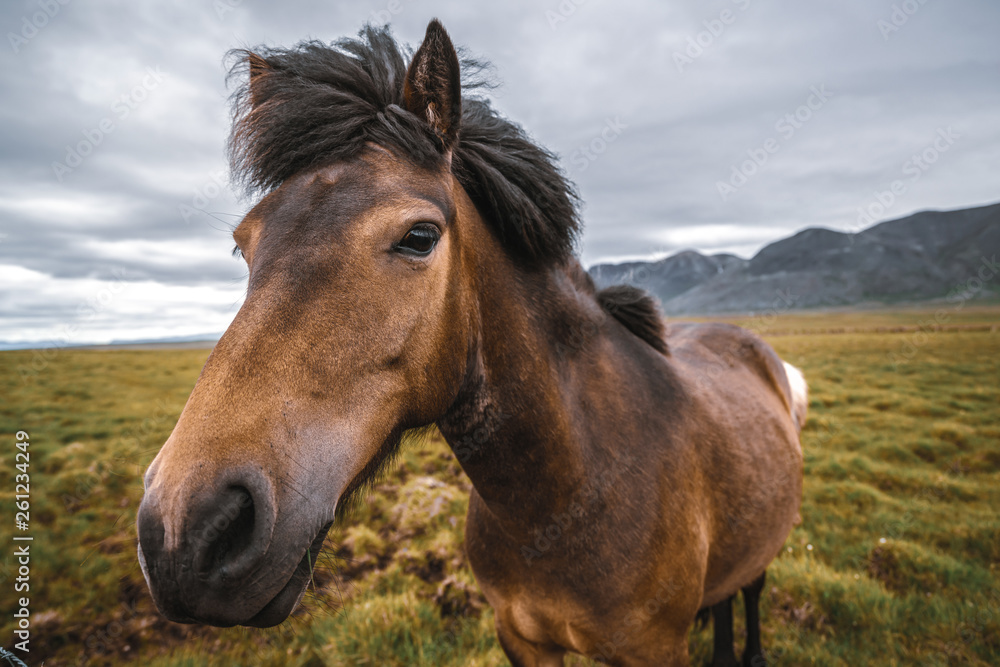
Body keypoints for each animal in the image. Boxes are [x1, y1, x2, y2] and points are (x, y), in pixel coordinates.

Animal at [135, 18, 804, 664]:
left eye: (420, 236)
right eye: (244, 245)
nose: (183, 532)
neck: (570, 491)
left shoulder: (654, 649)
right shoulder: (520, 637)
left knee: (750, 590)